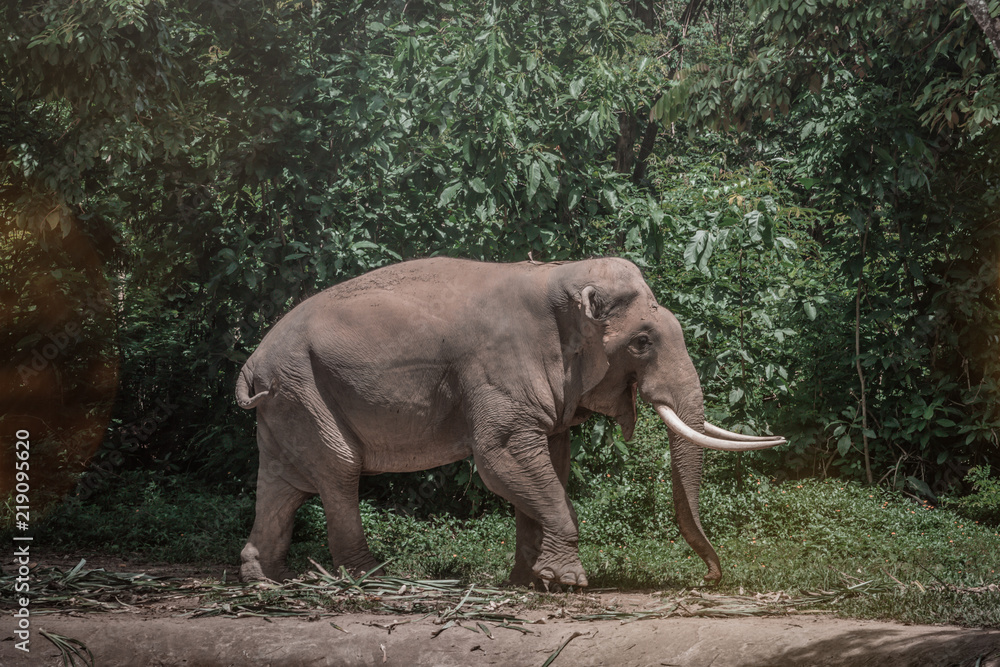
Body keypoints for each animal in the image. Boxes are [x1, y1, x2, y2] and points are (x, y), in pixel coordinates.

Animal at [235, 256, 784, 587]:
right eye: (643, 342)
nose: (712, 577)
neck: (562, 275)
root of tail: (252, 363)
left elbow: (549, 462)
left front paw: (530, 581)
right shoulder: (497, 369)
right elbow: (501, 459)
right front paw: (568, 582)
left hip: (288, 401)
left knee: (283, 482)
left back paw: (263, 579)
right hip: (302, 389)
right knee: (340, 470)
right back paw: (374, 577)